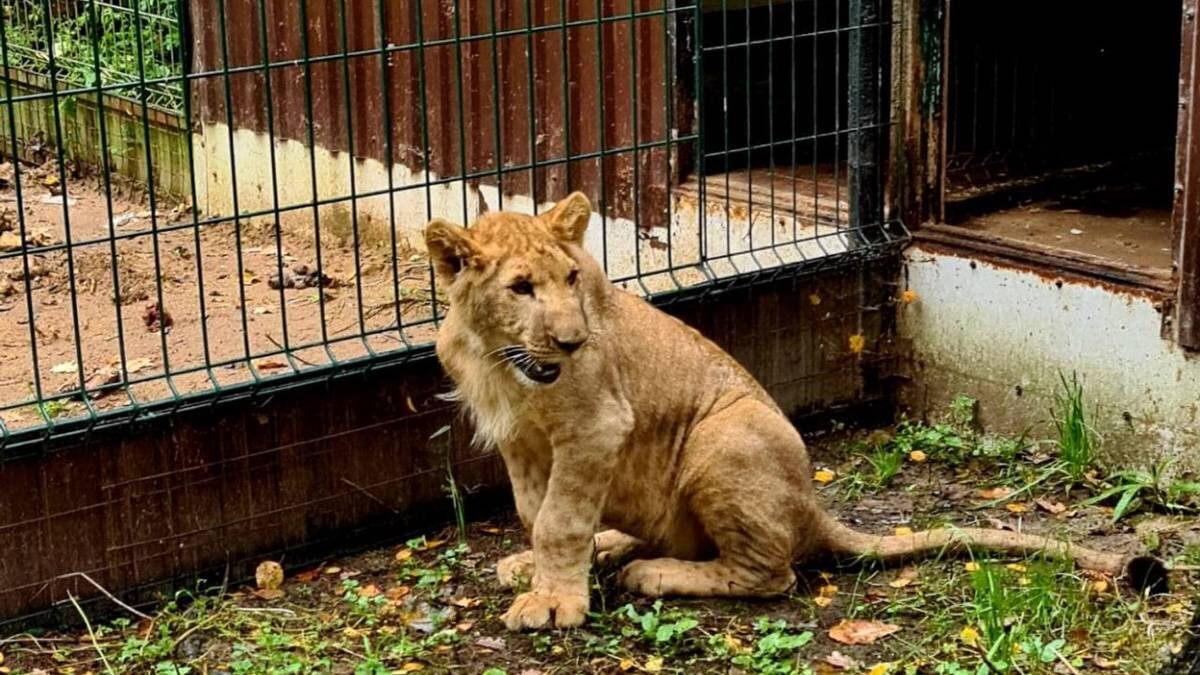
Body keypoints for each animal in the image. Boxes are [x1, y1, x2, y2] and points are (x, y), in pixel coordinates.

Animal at [422, 190, 1161, 629]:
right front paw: (540, 572)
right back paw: (615, 549)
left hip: (725, 435)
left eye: (573, 278)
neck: (503, 360)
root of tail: (813, 506)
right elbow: (534, 512)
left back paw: (654, 572)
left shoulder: (597, 426)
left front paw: (556, 602)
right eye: (522, 287)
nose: (574, 340)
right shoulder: (522, 442)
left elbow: (560, 520)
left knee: (769, 571)